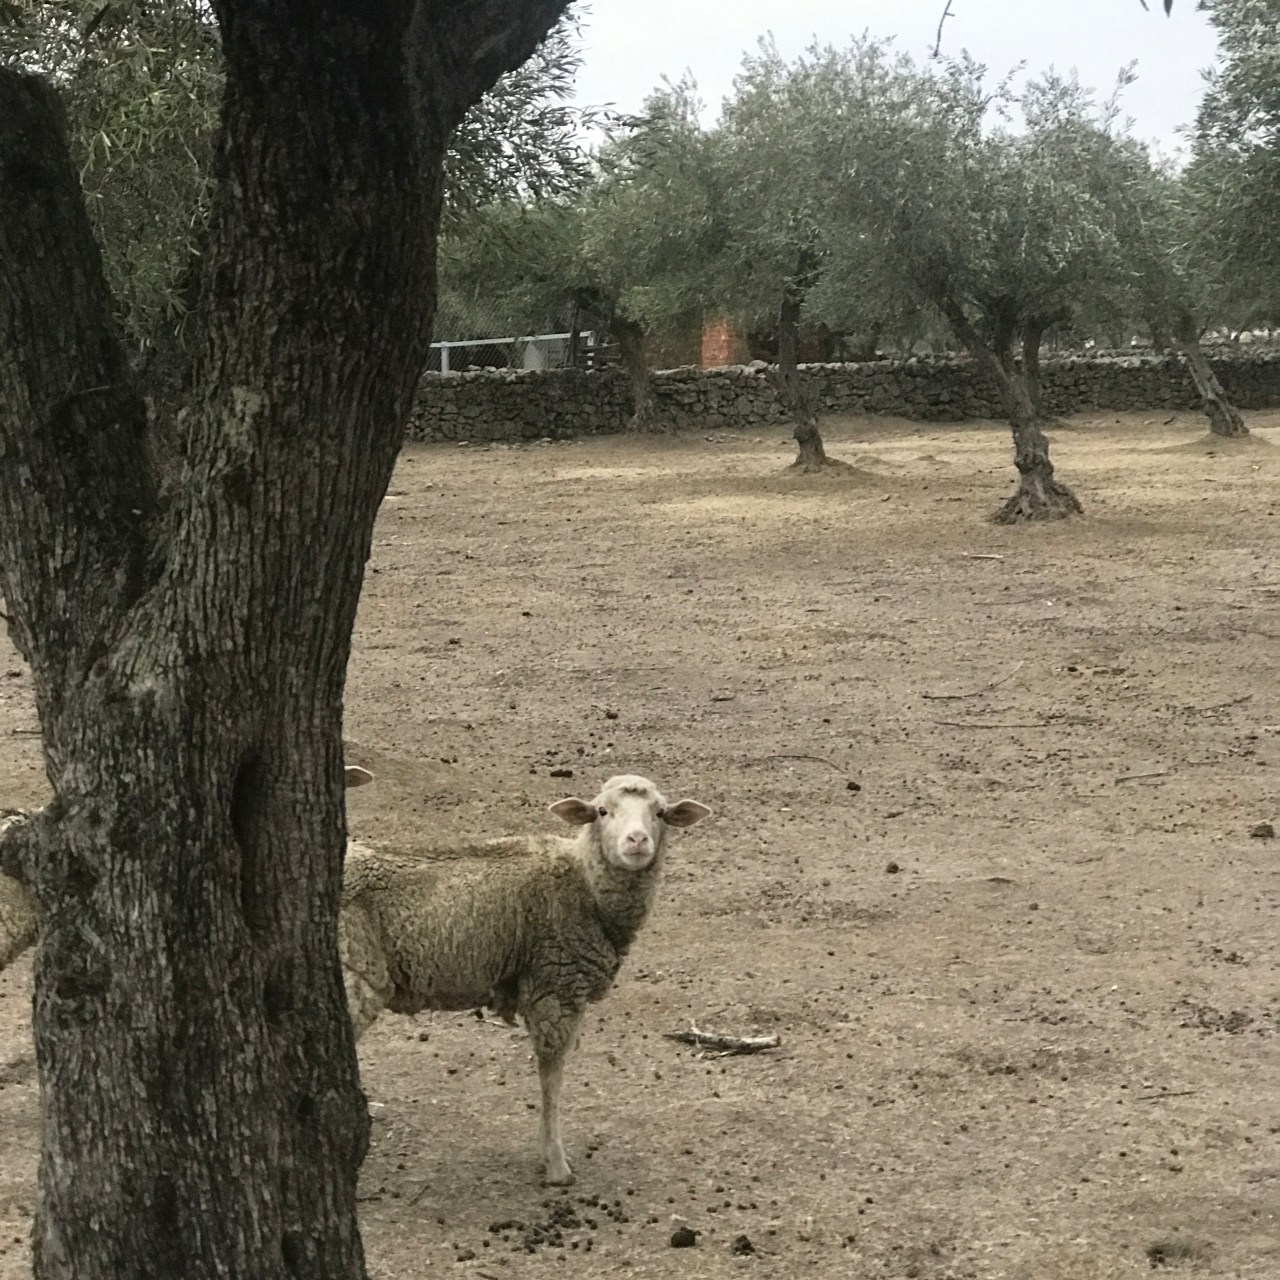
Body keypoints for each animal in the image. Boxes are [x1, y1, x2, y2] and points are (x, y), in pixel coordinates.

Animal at [338, 772, 711, 1185]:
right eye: (602, 811)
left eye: (659, 813)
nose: (637, 841)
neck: (583, 882)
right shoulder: (556, 984)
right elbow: (552, 1074)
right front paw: (556, 1163)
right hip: (355, 972)